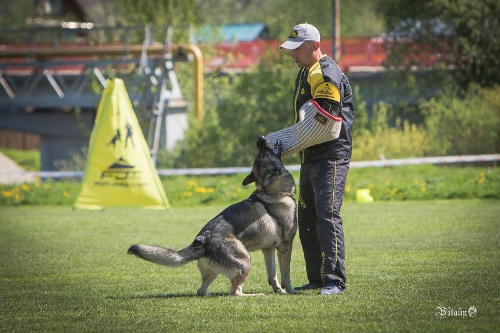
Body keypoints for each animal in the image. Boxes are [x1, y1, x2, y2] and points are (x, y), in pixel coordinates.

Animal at [128, 136, 296, 294]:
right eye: (263, 154)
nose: (260, 138)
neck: (274, 192)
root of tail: (201, 240)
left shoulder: (268, 249)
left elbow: (272, 275)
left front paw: (279, 290)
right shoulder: (285, 246)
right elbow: (286, 273)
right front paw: (290, 291)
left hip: (214, 272)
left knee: (201, 291)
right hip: (245, 261)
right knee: (234, 292)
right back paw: (255, 294)